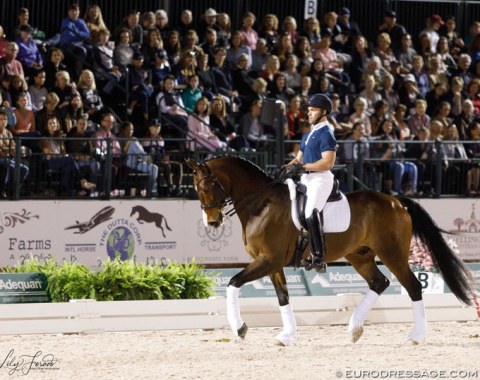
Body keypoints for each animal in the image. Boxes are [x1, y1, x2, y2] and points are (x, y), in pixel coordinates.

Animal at [187, 156, 472, 346]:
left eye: (207, 186)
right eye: (196, 189)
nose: (212, 222)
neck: (261, 204)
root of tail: (396, 201)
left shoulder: (268, 260)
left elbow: (233, 283)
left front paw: (240, 328)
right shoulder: (271, 264)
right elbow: (283, 297)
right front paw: (286, 336)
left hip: (392, 254)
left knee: (412, 286)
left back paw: (415, 336)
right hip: (359, 255)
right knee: (379, 282)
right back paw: (355, 328)